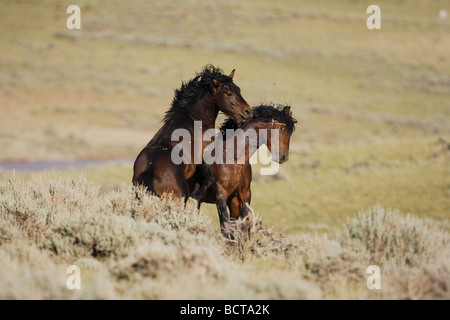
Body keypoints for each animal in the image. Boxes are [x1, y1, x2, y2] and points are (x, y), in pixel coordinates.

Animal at [133, 64, 253, 200]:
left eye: (239, 90)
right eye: (229, 93)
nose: (248, 111)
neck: (193, 118)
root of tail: (149, 171)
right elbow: (210, 179)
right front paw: (197, 194)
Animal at [188, 105, 298, 238]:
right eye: (282, 128)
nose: (283, 156)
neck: (233, 158)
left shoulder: (242, 197)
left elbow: (244, 227)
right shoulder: (221, 196)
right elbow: (226, 229)